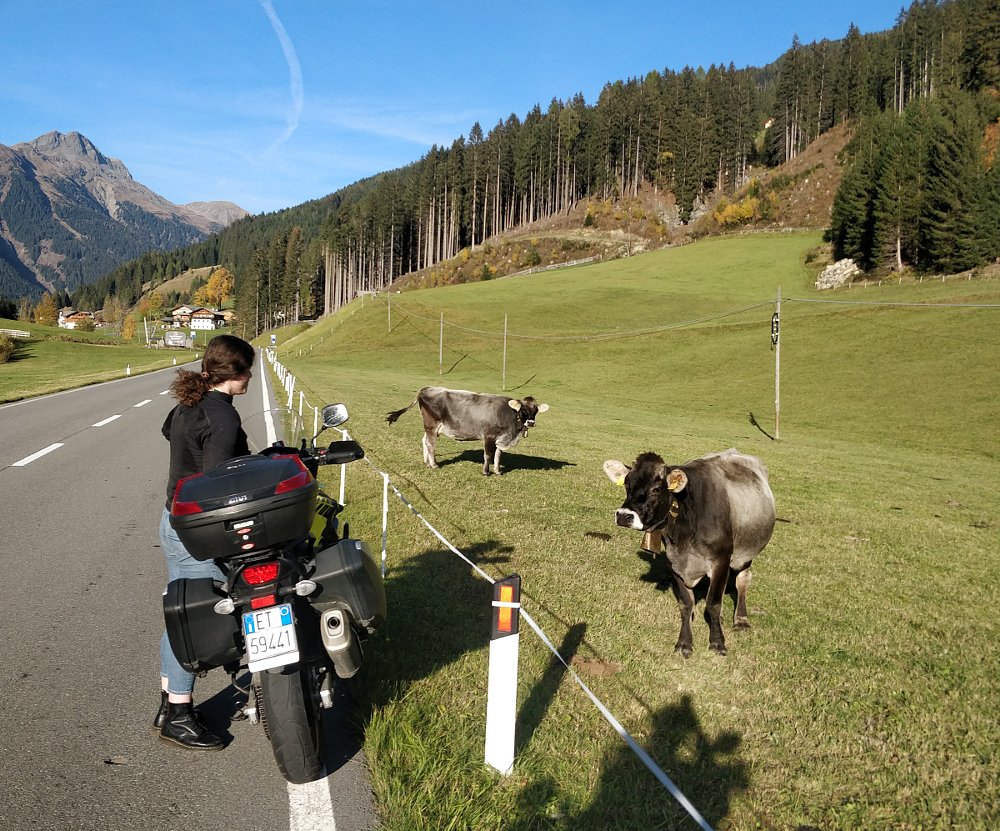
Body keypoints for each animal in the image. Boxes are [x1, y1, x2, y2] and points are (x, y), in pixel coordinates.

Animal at [386, 386, 549, 475]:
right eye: (523, 410)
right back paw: (434, 464)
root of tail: (426, 388)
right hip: (432, 425)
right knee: (430, 444)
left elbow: (498, 456)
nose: (531, 422)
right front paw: (486, 472)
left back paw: (427, 463)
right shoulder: (489, 436)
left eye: (535, 410)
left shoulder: (501, 438)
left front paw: (497, 471)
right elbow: (488, 455)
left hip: (429, 427)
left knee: (424, 441)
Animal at [603, 449, 775, 657]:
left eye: (657, 489)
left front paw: (717, 642)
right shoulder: (674, 561)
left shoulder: (721, 560)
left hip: (746, 553)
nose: (623, 516)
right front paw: (684, 642)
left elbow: (713, 602)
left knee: (742, 580)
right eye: (627, 484)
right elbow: (686, 604)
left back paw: (741, 619)